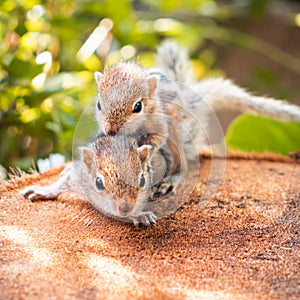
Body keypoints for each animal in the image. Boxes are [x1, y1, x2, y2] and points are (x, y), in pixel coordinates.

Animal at [20, 134, 162, 225]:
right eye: (98, 183)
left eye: (142, 180)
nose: (125, 209)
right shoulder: (78, 176)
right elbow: (62, 183)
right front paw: (43, 191)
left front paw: (139, 215)